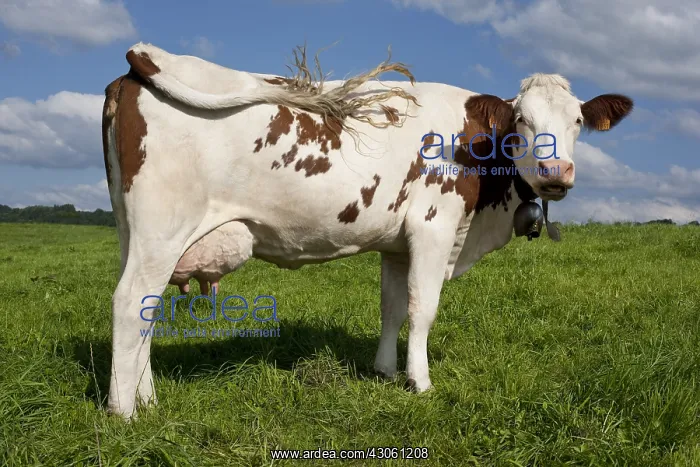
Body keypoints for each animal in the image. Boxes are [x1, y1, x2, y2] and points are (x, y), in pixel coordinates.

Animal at [102, 42, 633, 418]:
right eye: (522, 119)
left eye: (578, 121)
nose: (556, 173)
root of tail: (137, 63)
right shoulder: (433, 229)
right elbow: (422, 310)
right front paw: (420, 382)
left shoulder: (397, 245)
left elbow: (392, 308)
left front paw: (384, 372)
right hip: (163, 228)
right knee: (130, 302)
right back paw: (123, 411)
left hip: (136, 232)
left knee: (146, 311)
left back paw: (146, 398)